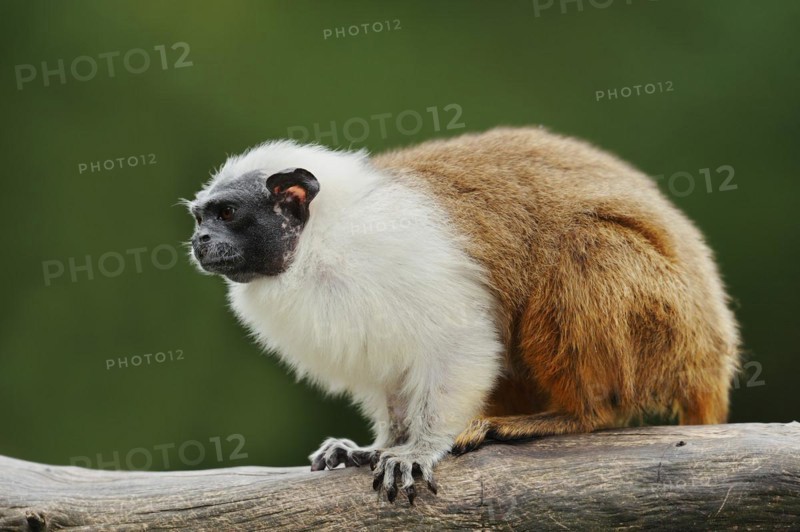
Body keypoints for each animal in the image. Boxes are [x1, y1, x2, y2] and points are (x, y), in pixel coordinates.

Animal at [186, 127, 740, 505]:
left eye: (228, 214)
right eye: (200, 217)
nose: (199, 241)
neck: (319, 243)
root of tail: (711, 353)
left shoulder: (396, 254)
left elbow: (460, 344)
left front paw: (419, 448)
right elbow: (389, 379)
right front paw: (378, 445)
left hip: (666, 326)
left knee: (587, 244)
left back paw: (574, 415)